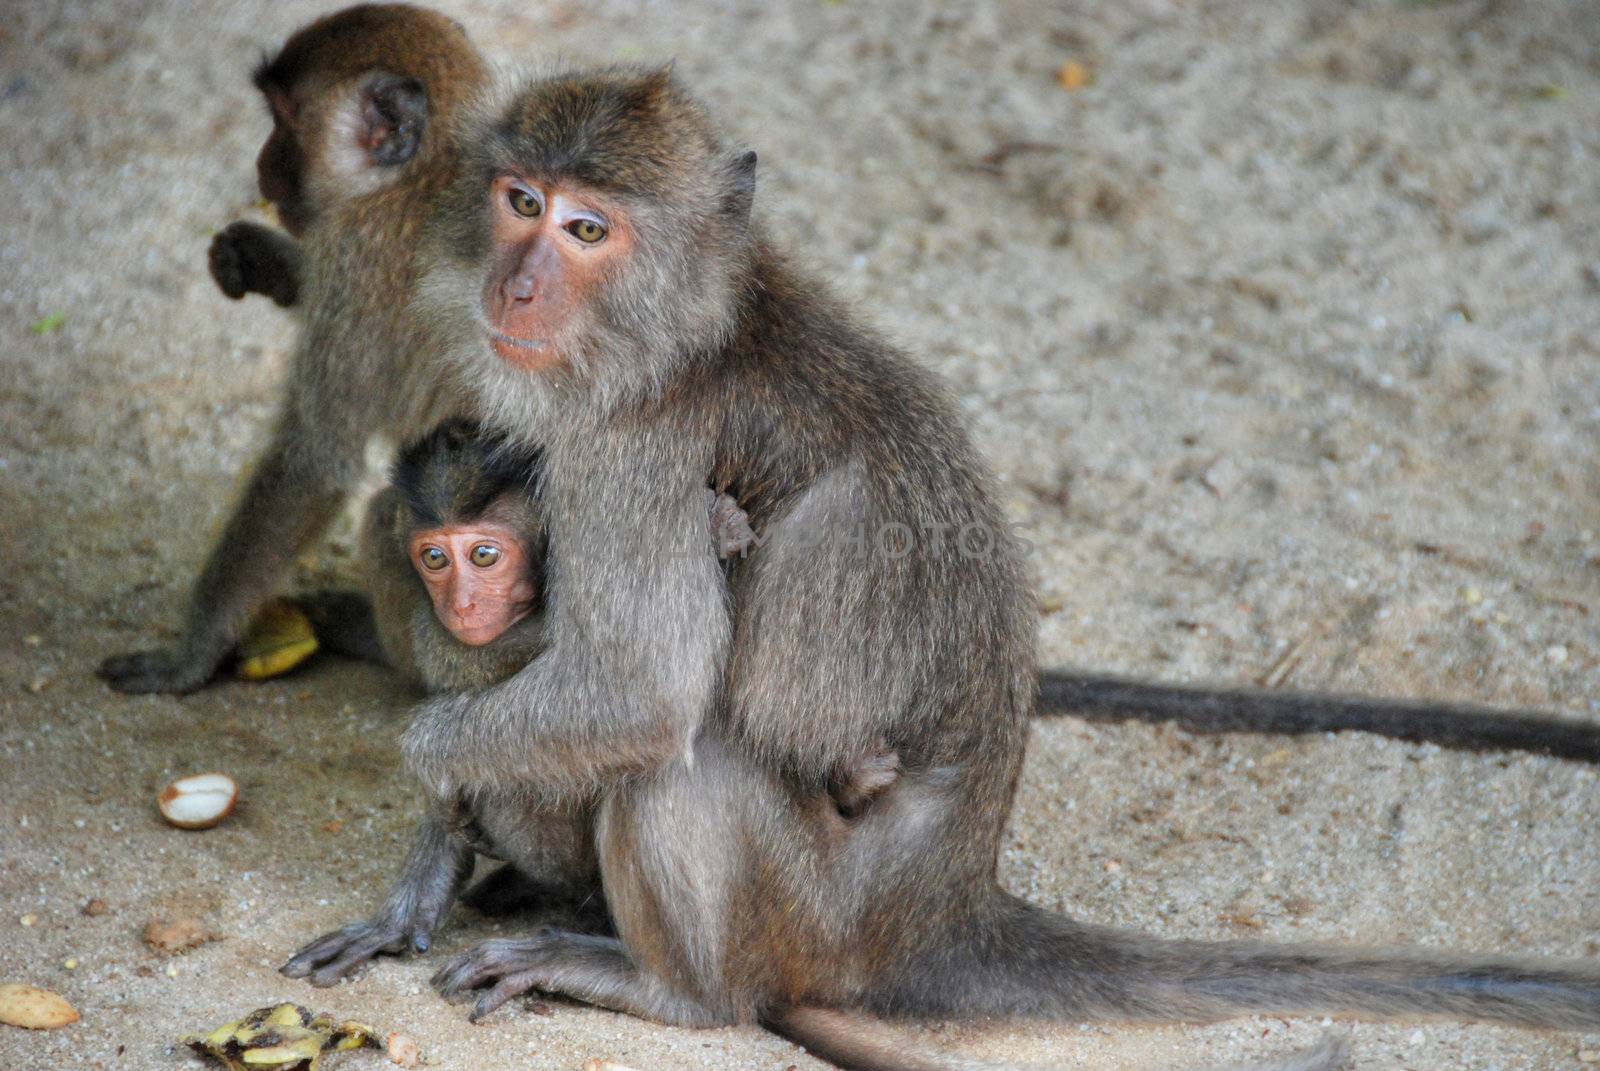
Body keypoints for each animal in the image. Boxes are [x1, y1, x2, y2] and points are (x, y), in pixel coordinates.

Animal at [272, 68, 1600, 1069]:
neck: (693, 334)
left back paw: (671, 991)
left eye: (586, 229)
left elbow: (636, 691)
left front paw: (431, 776)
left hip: (812, 917)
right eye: (521, 199)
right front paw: (430, 859)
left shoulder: (629, 457)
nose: (518, 279)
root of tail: (946, 910)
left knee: (680, 763)